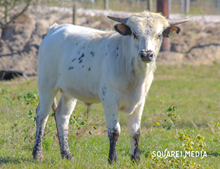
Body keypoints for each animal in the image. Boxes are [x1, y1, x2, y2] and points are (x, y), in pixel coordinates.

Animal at [32, 11, 189, 163]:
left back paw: (67, 155)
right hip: (46, 86)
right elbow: (114, 131)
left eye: (158, 35)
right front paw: (113, 159)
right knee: (42, 115)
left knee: (62, 117)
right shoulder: (109, 99)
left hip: (69, 92)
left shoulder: (140, 101)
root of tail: (55, 28)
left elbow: (135, 132)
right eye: (134, 34)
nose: (146, 54)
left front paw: (136, 159)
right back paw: (37, 155)